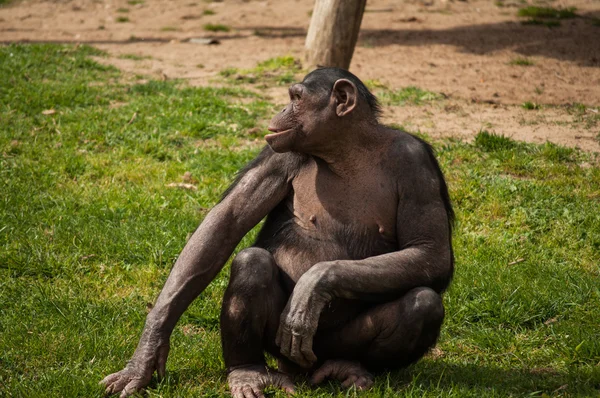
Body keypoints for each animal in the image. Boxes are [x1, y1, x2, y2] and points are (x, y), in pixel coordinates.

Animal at [101, 67, 452, 396]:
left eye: (296, 97)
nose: (282, 108)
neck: (345, 153)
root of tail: (303, 371)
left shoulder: (416, 163)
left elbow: (429, 250)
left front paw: (316, 284)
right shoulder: (277, 155)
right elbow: (226, 222)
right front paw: (147, 352)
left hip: (329, 346)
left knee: (423, 303)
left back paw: (350, 367)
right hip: (280, 349)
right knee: (251, 263)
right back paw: (247, 371)